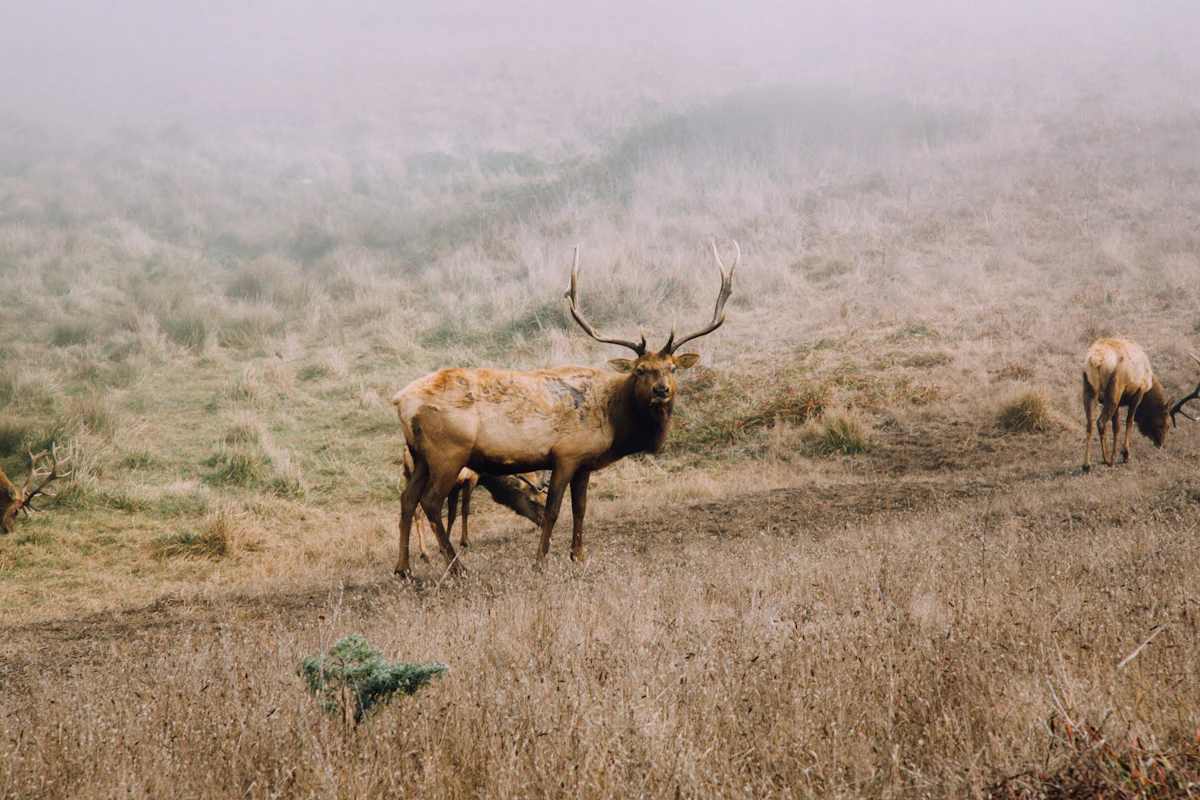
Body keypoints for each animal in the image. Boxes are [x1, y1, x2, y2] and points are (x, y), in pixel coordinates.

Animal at [392, 241, 737, 577]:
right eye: (640, 370)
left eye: (672, 369)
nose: (661, 390)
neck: (614, 422)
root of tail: (400, 400)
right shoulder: (565, 454)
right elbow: (554, 509)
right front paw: (541, 560)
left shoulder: (585, 461)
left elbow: (580, 509)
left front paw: (579, 556)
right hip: (449, 450)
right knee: (430, 502)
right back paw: (457, 568)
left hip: (420, 454)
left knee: (407, 499)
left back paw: (404, 568)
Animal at [1082, 338, 1173, 473]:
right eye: (1168, 424)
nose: (1161, 444)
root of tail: (1095, 360)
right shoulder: (1139, 392)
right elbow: (1129, 420)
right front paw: (1125, 454)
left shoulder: (1119, 402)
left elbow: (1116, 426)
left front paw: (1115, 454)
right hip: (1115, 390)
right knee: (1101, 422)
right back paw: (1107, 460)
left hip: (1090, 389)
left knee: (1089, 423)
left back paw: (1087, 465)